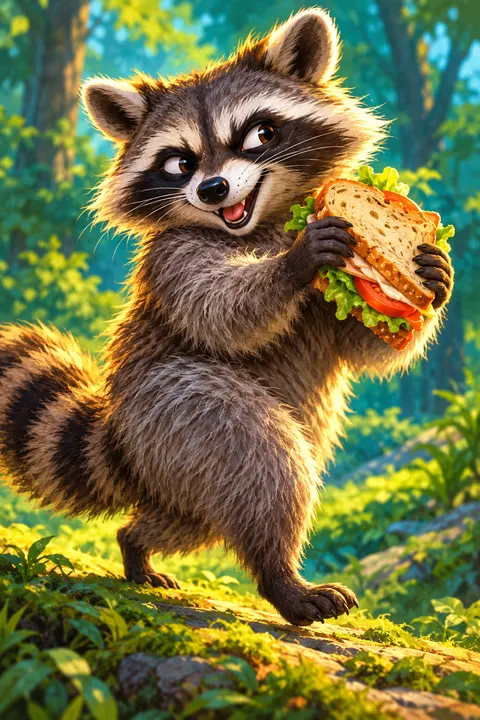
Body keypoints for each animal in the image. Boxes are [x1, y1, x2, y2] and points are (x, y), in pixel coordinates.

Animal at [0, 9, 452, 625]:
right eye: (179, 162)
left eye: (261, 134)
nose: (213, 189)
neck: (262, 222)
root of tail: (124, 443)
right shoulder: (172, 259)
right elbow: (219, 309)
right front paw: (291, 265)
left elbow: (364, 345)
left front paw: (432, 275)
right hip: (175, 409)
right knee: (262, 463)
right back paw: (282, 578)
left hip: (176, 463)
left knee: (196, 516)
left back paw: (135, 543)